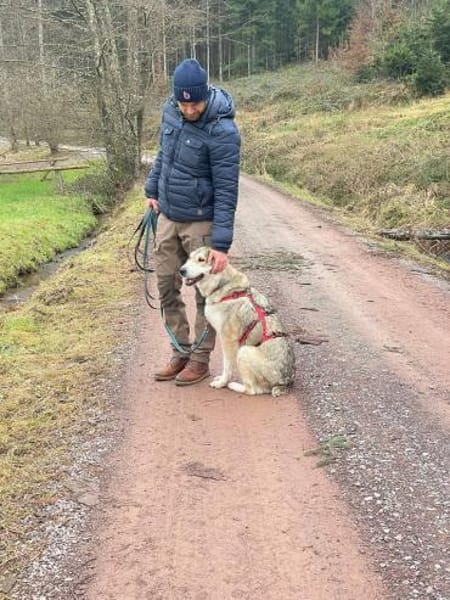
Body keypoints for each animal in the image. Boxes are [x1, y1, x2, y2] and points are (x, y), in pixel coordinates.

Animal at [180, 247, 296, 396]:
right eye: (189, 258)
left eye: (201, 260)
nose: (181, 270)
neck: (222, 285)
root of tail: (285, 382)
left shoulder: (228, 340)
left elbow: (227, 367)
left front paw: (221, 383)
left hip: (244, 351)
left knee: (252, 390)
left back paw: (233, 385)